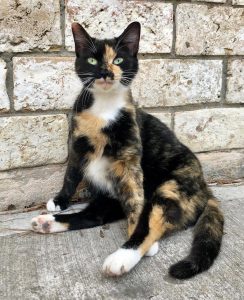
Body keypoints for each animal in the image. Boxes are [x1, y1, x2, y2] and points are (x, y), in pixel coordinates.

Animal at [31, 22, 224, 280]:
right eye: (92, 60)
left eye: (119, 59)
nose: (106, 72)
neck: (103, 109)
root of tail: (204, 186)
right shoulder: (77, 144)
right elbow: (70, 174)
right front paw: (61, 199)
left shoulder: (130, 160)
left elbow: (135, 202)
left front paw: (135, 236)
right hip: (108, 196)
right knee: (93, 215)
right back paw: (46, 222)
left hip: (172, 188)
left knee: (150, 218)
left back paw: (122, 257)